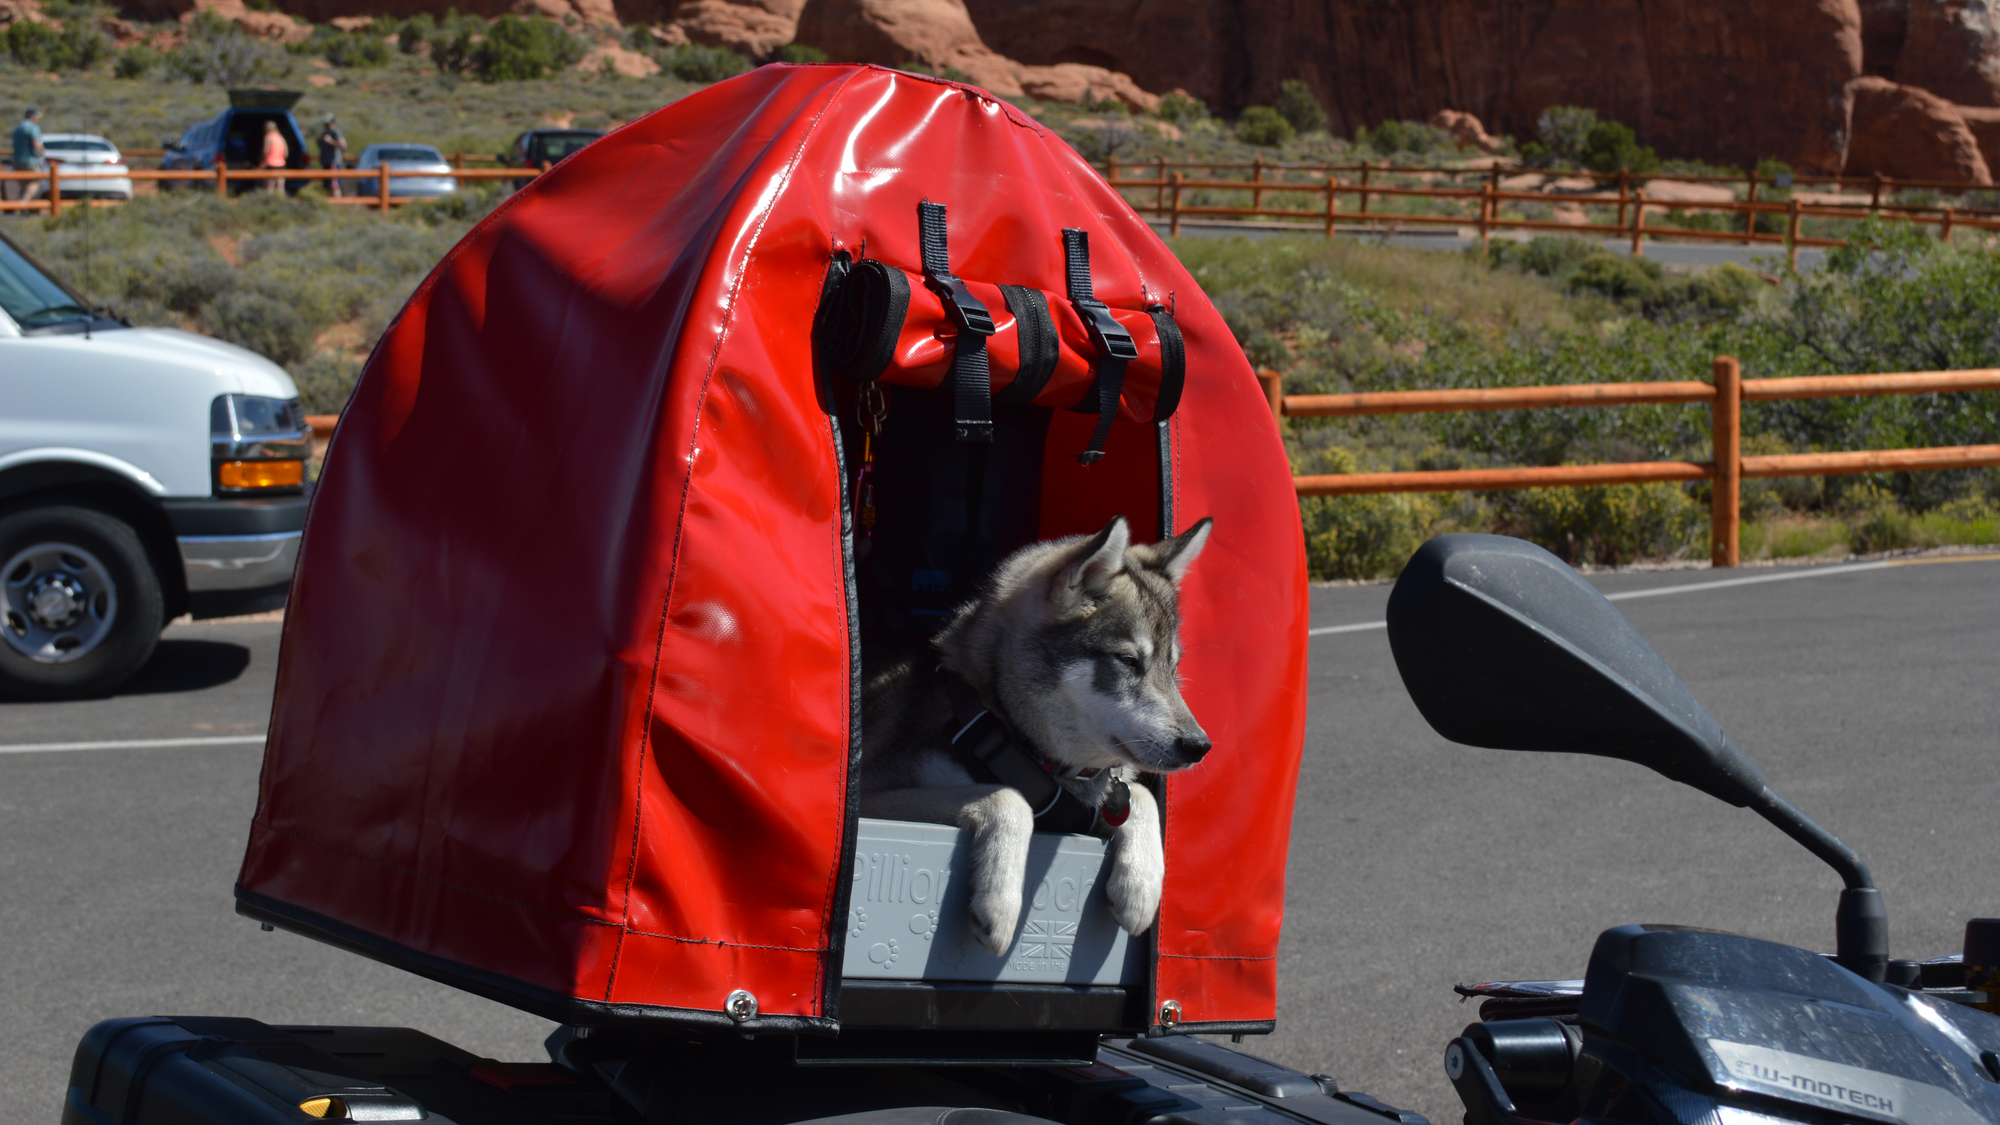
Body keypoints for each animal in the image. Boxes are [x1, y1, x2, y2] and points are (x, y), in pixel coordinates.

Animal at [856, 512, 1208, 948]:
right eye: (1127, 661)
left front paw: (1140, 887)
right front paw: (1000, 902)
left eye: (1173, 669)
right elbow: (1008, 796)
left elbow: (1139, 796)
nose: (1199, 746)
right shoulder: (868, 797)